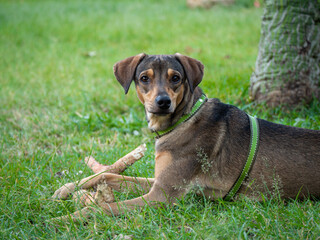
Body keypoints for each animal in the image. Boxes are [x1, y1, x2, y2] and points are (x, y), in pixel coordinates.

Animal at [53, 54, 320, 219]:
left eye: (176, 78)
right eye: (144, 78)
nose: (163, 102)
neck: (184, 119)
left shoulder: (161, 196)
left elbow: (103, 208)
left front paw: (63, 219)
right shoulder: (160, 182)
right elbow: (106, 175)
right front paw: (66, 189)